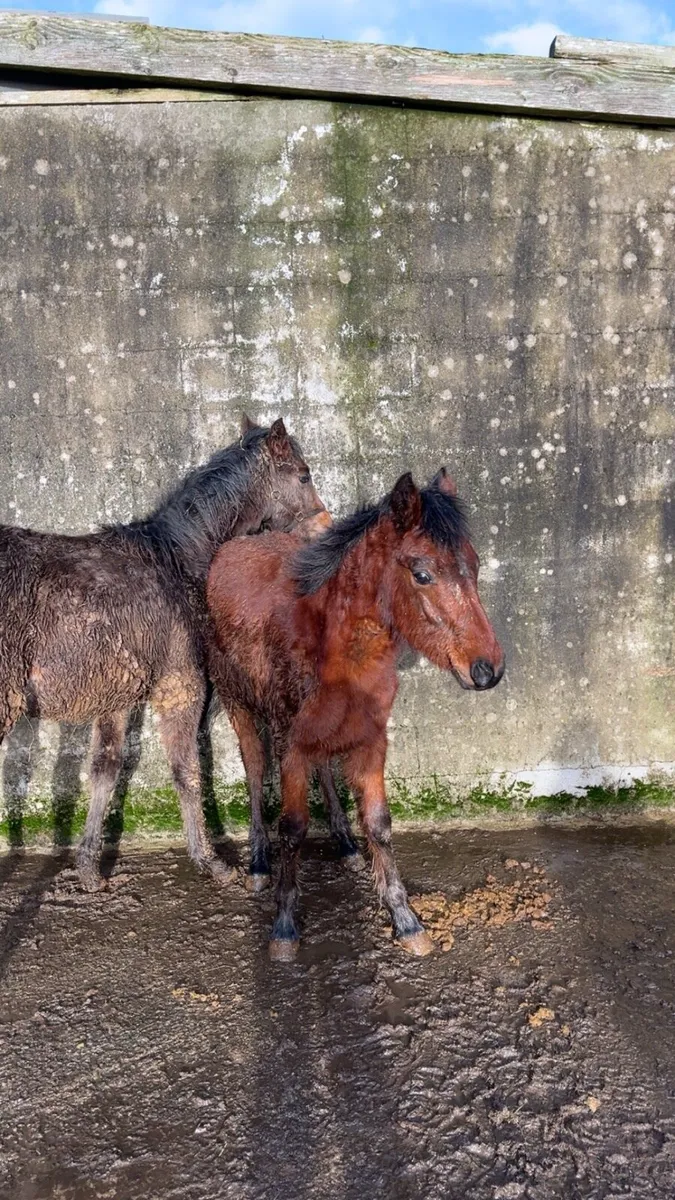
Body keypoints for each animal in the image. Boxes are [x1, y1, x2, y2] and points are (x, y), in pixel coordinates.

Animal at [0, 416, 326, 891]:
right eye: (303, 475)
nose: (325, 529)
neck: (174, 557)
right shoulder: (181, 684)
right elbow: (185, 771)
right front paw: (211, 861)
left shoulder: (116, 697)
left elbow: (105, 771)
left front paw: (88, 868)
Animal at [206, 467, 504, 960]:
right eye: (422, 573)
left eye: (474, 566)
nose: (488, 670)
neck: (335, 644)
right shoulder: (292, 745)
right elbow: (293, 828)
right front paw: (284, 924)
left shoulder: (370, 738)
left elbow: (379, 824)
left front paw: (406, 919)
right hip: (240, 705)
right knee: (253, 770)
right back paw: (259, 863)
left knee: (325, 768)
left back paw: (345, 842)